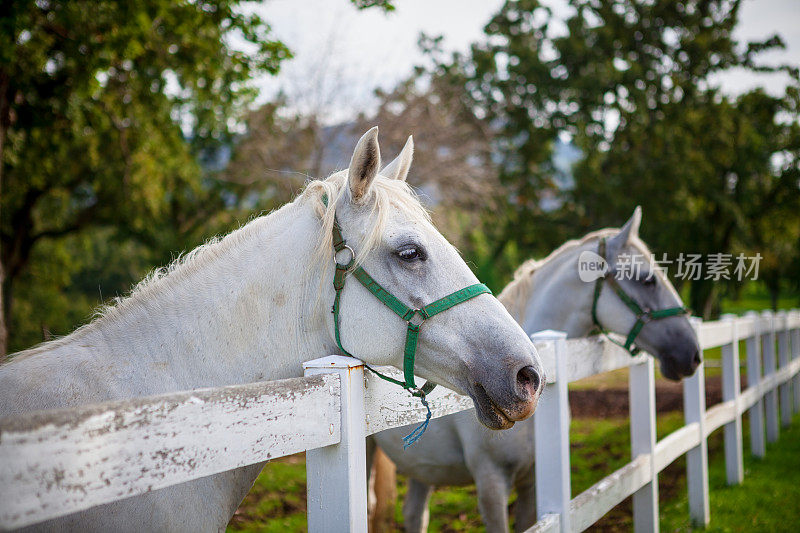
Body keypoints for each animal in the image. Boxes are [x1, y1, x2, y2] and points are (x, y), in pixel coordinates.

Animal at [370, 208, 700, 532]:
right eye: (648, 280)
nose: (693, 353)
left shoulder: (532, 483)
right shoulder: (492, 484)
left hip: (423, 467)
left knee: (414, 514)